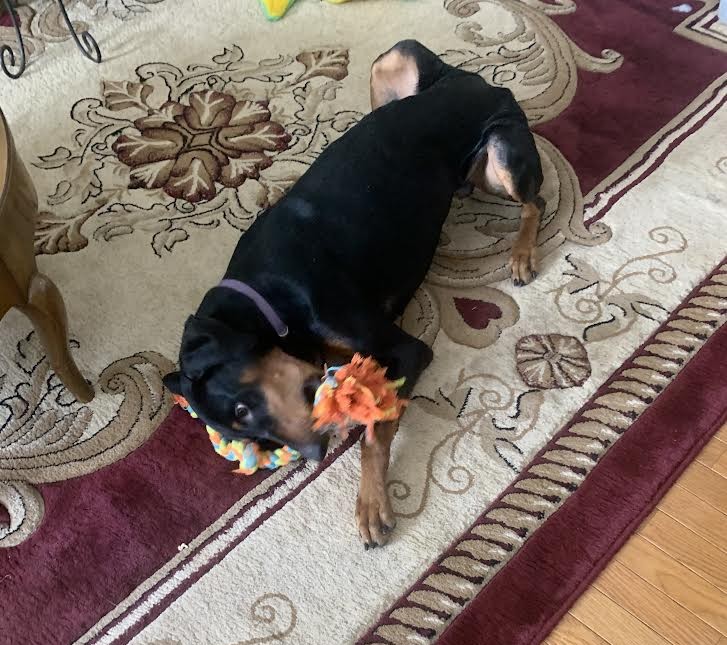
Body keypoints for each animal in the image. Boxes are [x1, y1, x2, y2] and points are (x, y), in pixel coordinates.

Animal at [163, 40, 544, 548]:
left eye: (243, 408)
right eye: (252, 440)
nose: (315, 452)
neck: (267, 298)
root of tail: (468, 78)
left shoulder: (405, 349)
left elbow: (374, 432)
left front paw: (372, 506)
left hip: (501, 154)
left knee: (534, 202)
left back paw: (521, 254)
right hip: (393, 67)